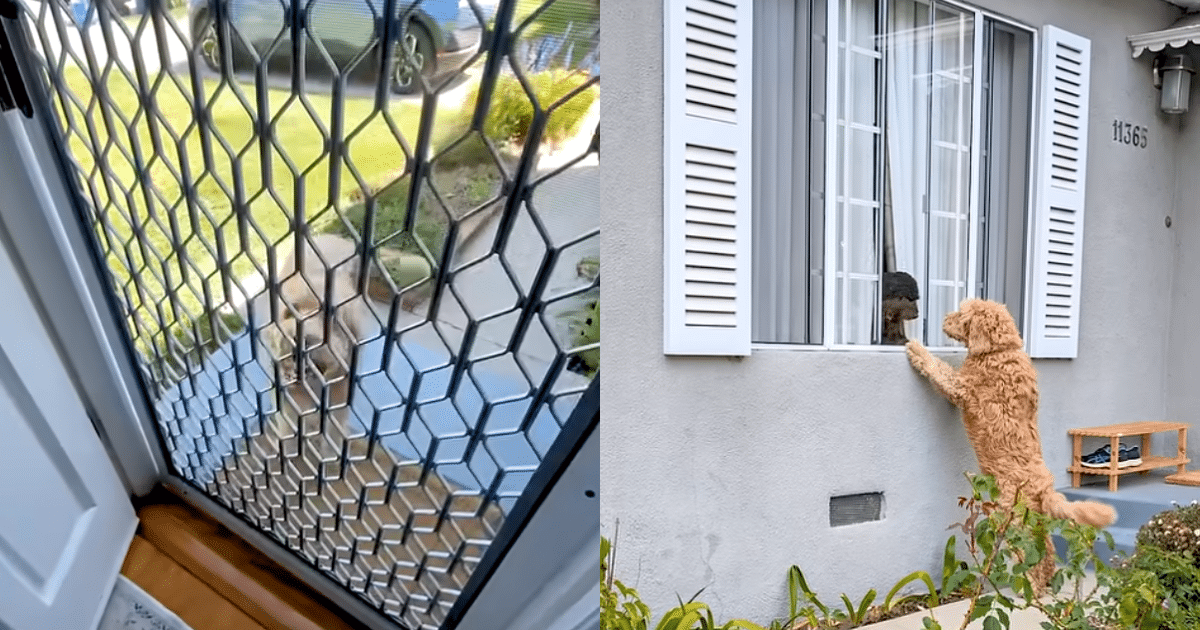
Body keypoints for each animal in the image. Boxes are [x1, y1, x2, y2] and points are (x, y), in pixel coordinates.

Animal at [907, 300, 1113, 590]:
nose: (945, 317)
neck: (1000, 349)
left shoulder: (961, 387)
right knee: (1045, 551)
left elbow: (940, 370)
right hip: (1033, 522)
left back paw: (1030, 585)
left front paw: (917, 350)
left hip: (1014, 520)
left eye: (962, 314)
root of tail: (1045, 487)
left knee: (1030, 555)